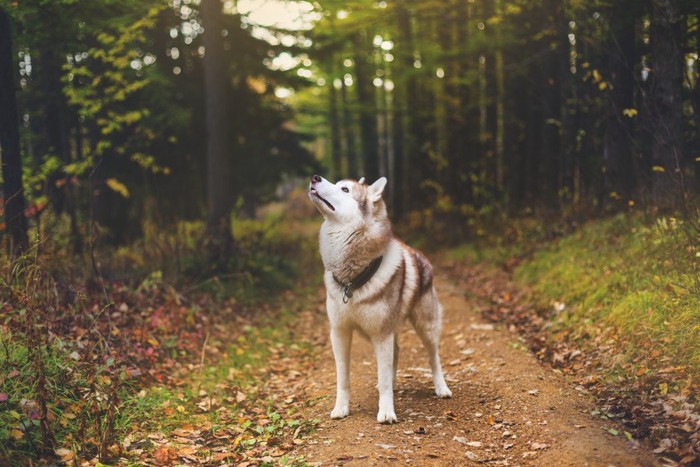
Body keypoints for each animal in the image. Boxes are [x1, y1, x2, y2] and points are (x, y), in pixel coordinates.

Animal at [308, 175, 452, 424]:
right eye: (337, 183)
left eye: (345, 189)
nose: (315, 177)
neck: (351, 281)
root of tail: (419, 254)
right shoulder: (340, 333)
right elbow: (343, 378)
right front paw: (341, 408)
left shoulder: (381, 335)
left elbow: (383, 376)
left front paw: (386, 412)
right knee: (397, 352)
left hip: (426, 328)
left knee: (433, 358)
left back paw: (441, 387)